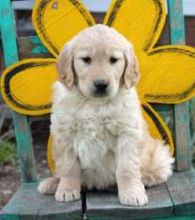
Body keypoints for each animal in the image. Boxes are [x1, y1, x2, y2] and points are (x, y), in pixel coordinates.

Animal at [37, 24, 174, 206]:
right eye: (86, 59)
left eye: (114, 60)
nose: (101, 84)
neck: (94, 103)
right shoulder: (64, 133)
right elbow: (68, 167)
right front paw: (66, 190)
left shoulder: (127, 133)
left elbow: (127, 168)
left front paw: (132, 193)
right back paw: (53, 183)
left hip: (160, 156)